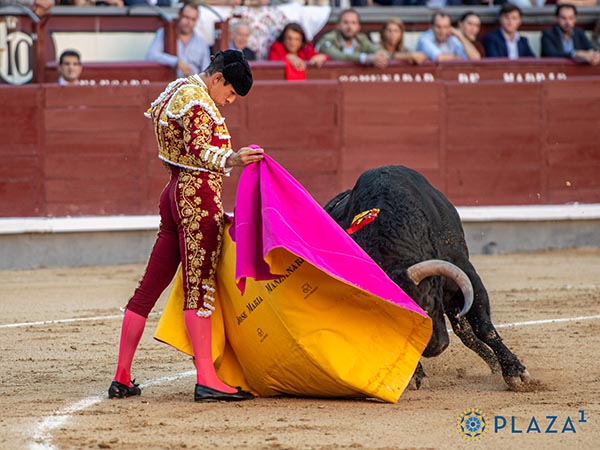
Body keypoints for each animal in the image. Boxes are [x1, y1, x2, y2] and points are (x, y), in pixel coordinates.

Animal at [324, 165, 528, 390]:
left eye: (428, 305)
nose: (436, 347)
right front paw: (416, 375)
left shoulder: (464, 274)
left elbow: (484, 327)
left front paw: (515, 372)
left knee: (466, 332)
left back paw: (494, 366)